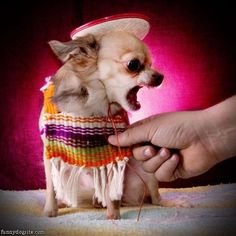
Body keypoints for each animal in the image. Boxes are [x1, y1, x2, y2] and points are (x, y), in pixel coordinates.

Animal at [39, 30, 185, 219]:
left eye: (151, 64)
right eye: (133, 65)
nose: (160, 76)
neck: (90, 107)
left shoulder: (111, 155)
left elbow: (110, 189)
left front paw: (113, 215)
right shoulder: (50, 154)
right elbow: (51, 188)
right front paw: (50, 210)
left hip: (146, 170)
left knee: (155, 199)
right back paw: (65, 203)